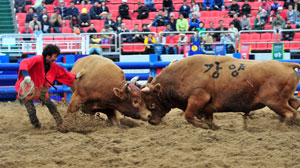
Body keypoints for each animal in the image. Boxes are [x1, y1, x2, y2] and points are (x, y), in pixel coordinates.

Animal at [142, 55, 300, 129]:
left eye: (151, 104)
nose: (151, 121)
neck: (181, 75)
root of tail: (286, 64)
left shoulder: (198, 97)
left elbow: (188, 116)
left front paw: (203, 127)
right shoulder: (207, 108)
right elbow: (208, 119)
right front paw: (213, 127)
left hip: (274, 101)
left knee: (290, 113)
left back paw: (282, 127)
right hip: (284, 98)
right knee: (295, 103)